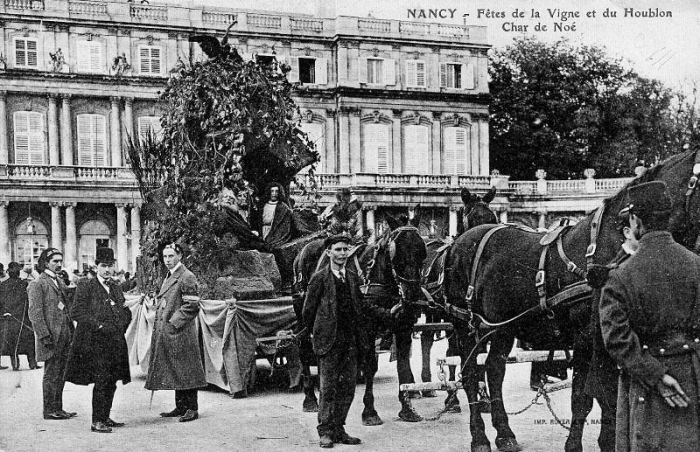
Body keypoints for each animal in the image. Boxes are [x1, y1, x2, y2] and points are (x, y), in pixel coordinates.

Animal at [290, 204, 426, 424]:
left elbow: (403, 366)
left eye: (422, 251)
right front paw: (369, 411)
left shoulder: (403, 327)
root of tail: (305, 248)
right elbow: (370, 365)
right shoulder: (367, 328)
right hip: (304, 315)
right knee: (304, 347)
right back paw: (310, 399)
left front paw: (407, 408)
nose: (412, 296)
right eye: (396, 253)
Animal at [442, 149, 700, 452]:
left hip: (502, 328)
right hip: (464, 325)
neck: (607, 251)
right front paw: (576, 444)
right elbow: (585, 397)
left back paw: (505, 433)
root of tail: (461, 241)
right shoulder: (586, 339)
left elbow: (607, 397)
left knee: (494, 370)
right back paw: (480, 437)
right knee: (471, 374)